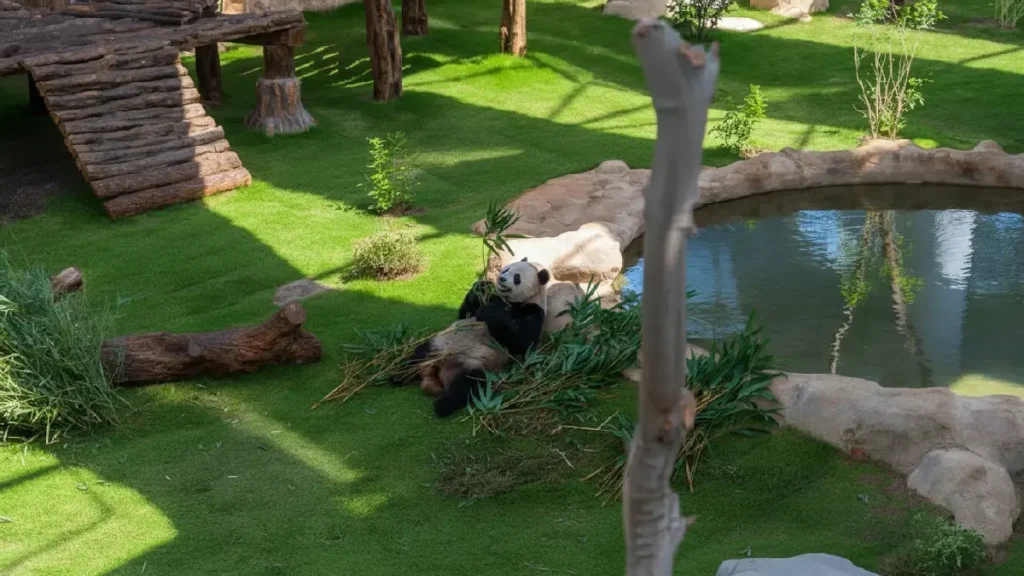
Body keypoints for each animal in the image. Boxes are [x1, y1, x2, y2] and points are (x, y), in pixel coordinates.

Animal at [393, 258, 550, 417]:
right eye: (507, 269)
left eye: (517, 277)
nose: (501, 278)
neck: (511, 302)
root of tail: (434, 375)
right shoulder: (489, 301)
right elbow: (465, 313)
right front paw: (481, 287)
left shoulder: (533, 310)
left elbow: (521, 340)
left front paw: (489, 311)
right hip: (435, 346)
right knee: (417, 356)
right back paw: (397, 376)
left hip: (472, 364)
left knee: (469, 385)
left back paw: (442, 405)